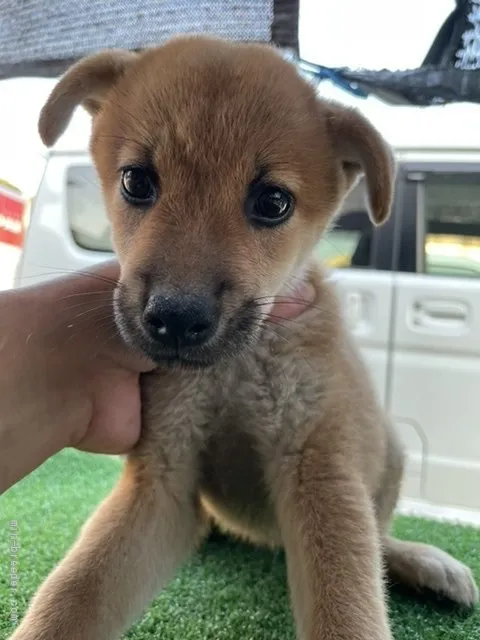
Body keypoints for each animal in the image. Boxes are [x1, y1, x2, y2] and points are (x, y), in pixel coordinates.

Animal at [10, 36, 476, 640]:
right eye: (136, 181)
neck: (234, 371)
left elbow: (348, 603)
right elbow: (75, 594)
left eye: (273, 202)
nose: (177, 320)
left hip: (388, 454)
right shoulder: (162, 479)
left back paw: (423, 562)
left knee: (379, 536)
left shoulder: (321, 468)